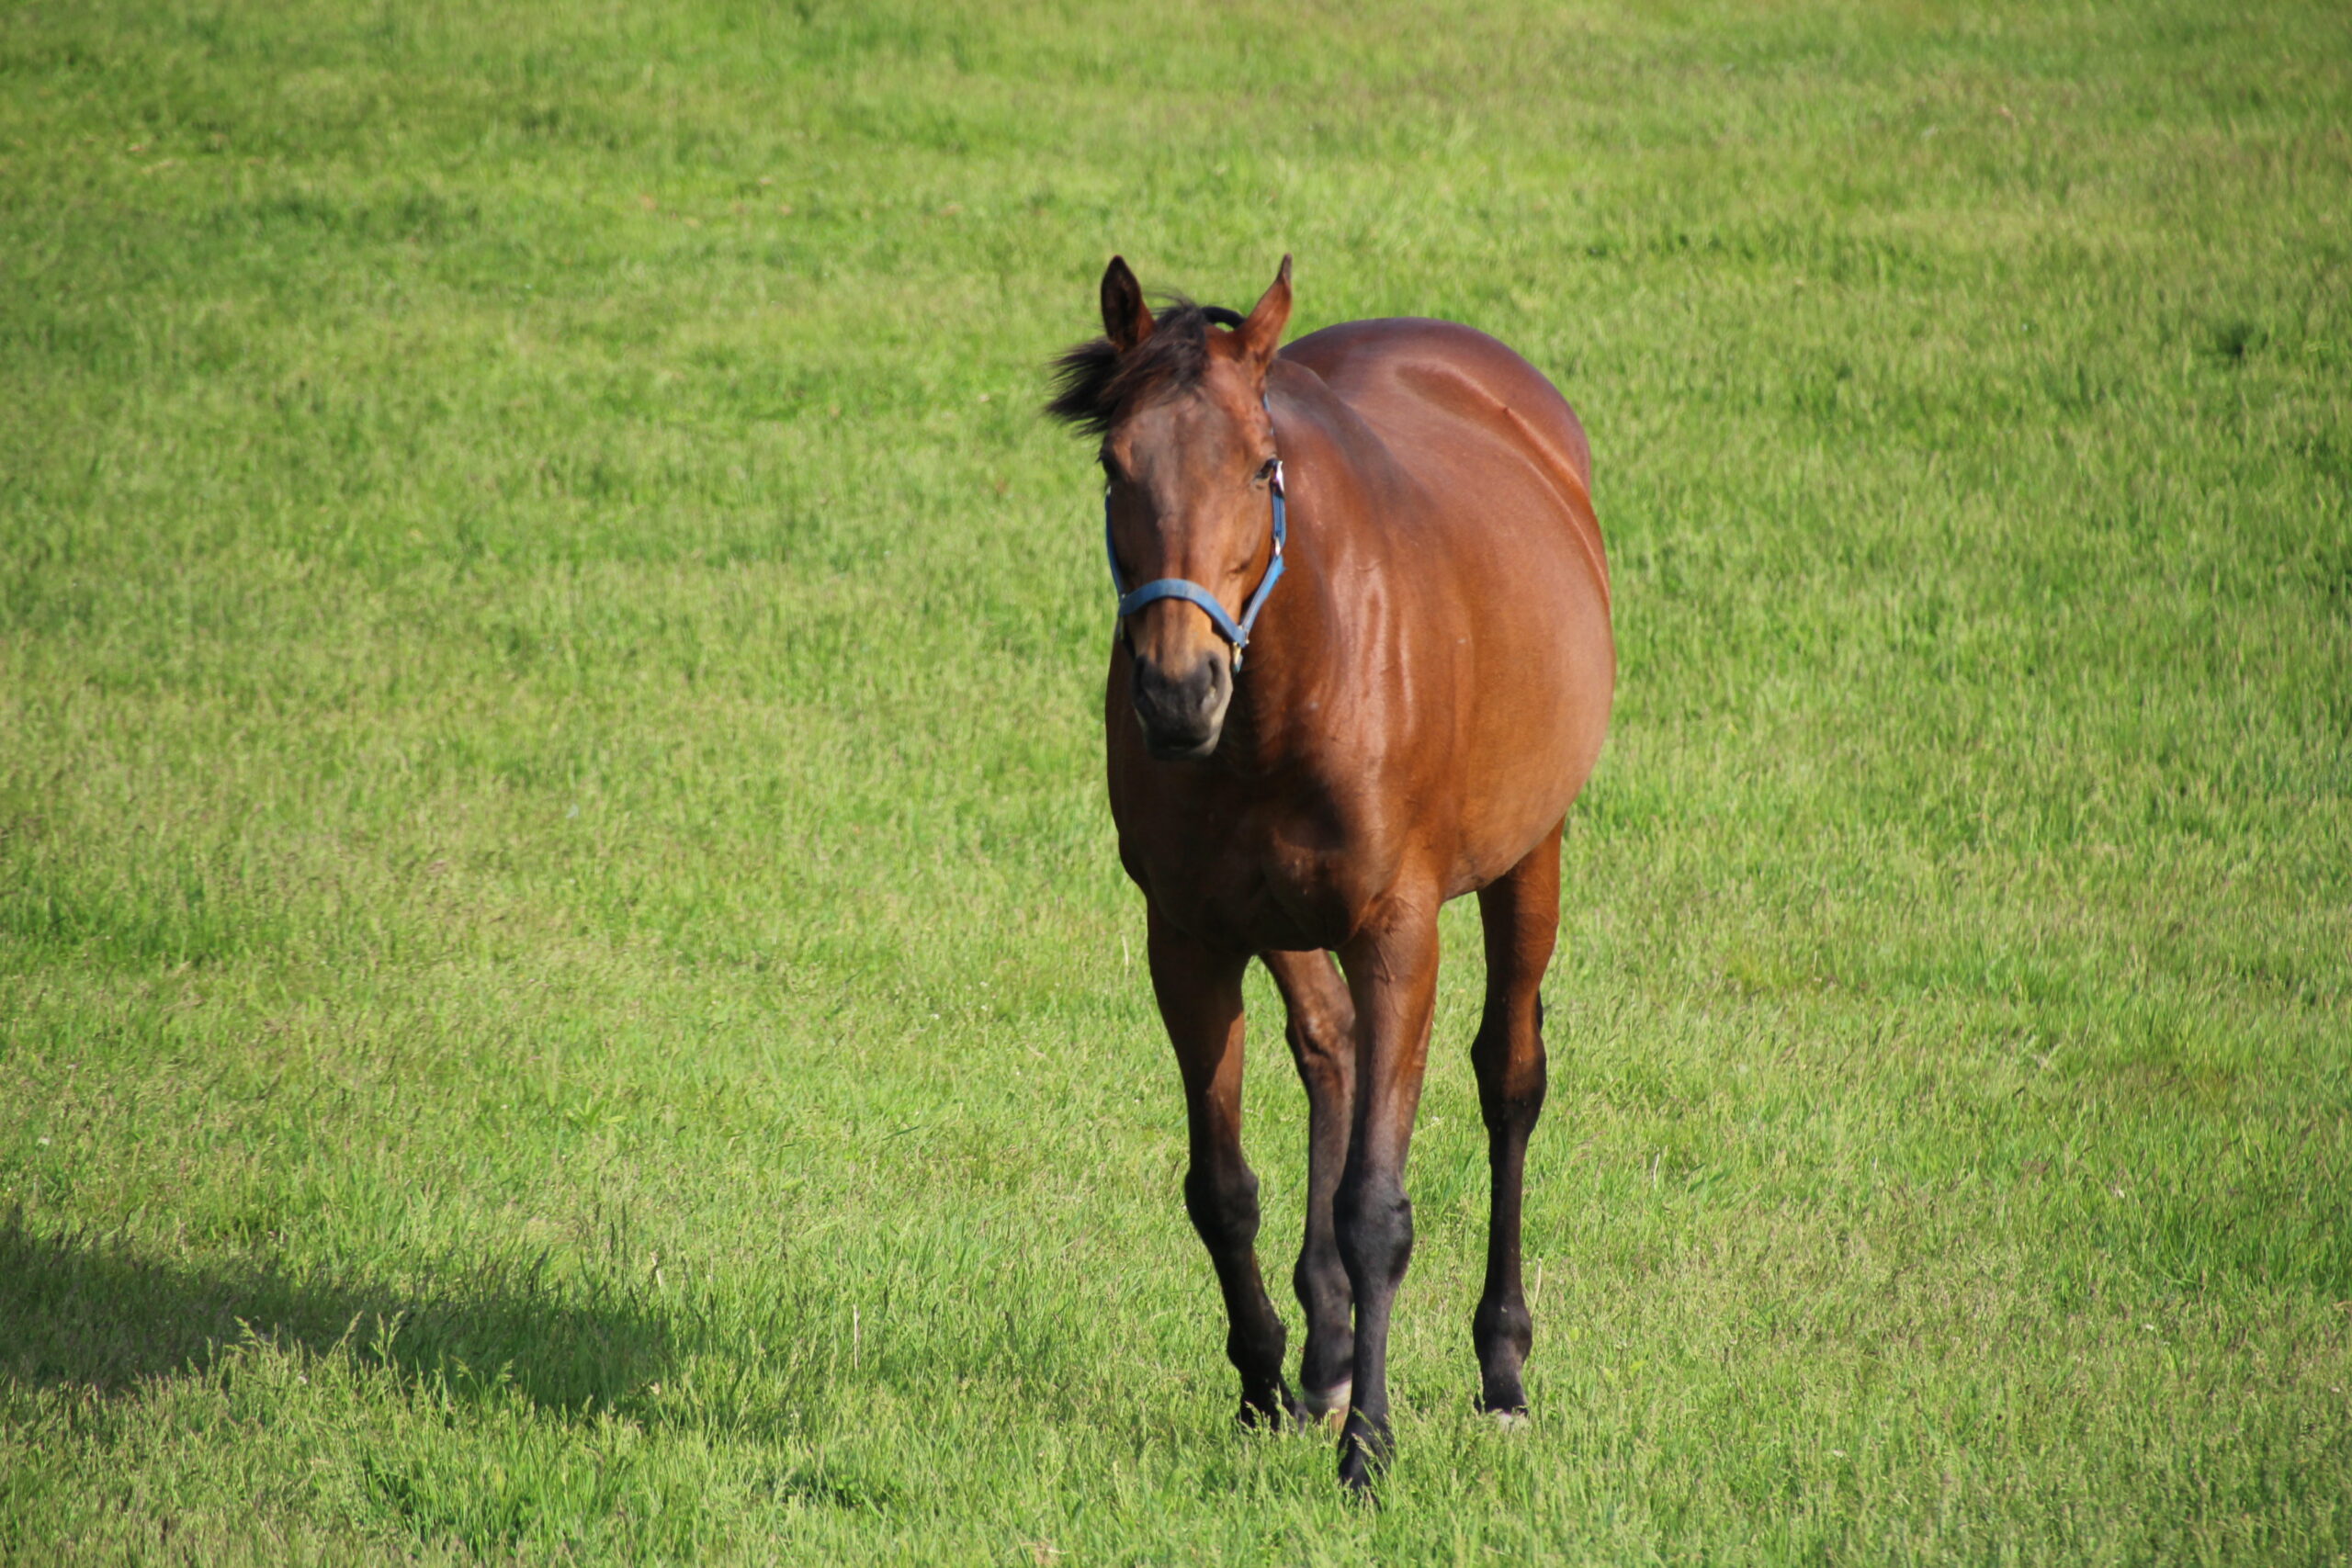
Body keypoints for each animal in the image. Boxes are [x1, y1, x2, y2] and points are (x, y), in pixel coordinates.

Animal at [1053, 251, 1618, 1495]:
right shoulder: (1191, 937)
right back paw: (1325, 1364)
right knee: (1331, 1054)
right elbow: (1221, 1191)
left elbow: (1376, 1207)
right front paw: (1267, 1391)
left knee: (1509, 1080)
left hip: (1529, 857)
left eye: (1261, 464)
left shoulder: (1396, 931)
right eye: (1115, 466)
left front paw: (1370, 1450)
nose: (1178, 692)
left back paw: (1500, 1373)